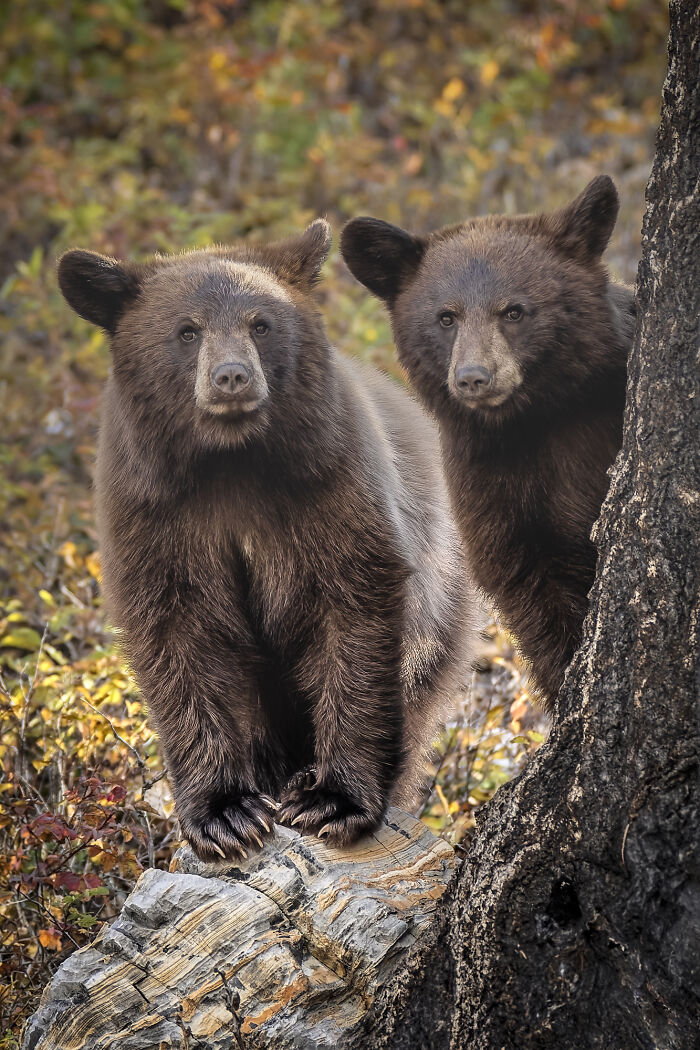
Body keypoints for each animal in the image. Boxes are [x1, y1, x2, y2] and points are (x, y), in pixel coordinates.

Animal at [57, 220, 472, 861]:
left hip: (444, 598)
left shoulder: (328, 480)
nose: (232, 376)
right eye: (187, 331)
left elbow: (354, 610)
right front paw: (224, 812)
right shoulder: (153, 509)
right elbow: (176, 632)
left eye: (260, 323)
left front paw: (333, 798)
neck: (233, 462)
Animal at [341, 177, 635, 710]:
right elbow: (528, 587)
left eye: (514, 311)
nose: (474, 377)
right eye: (446, 318)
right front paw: (565, 682)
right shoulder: (490, 479)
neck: (536, 420)